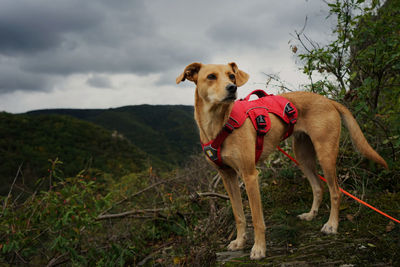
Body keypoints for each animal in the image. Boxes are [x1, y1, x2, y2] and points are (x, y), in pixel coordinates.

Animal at [176, 62, 388, 260]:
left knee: (336, 191)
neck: (218, 124)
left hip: (325, 154)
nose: (232, 88)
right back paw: (311, 214)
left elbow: (257, 219)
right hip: (302, 156)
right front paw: (239, 241)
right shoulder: (228, 177)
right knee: (318, 187)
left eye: (231, 76)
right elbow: (238, 215)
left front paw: (259, 249)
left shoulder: (250, 176)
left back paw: (331, 225)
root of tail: (328, 100)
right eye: (211, 76)